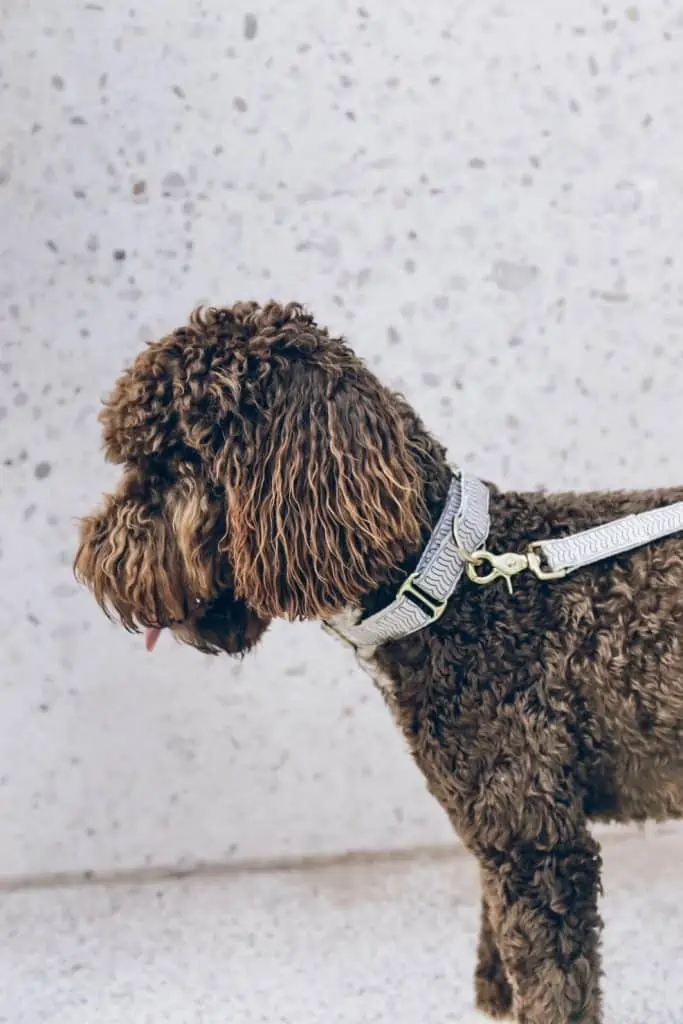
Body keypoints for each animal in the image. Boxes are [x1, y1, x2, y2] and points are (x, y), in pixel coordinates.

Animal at [74, 301, 683, 1024]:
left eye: (172, 462)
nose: (92, 564)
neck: (448, 587)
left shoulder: (535, 841)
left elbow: (552, 986)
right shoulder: (499, 839)